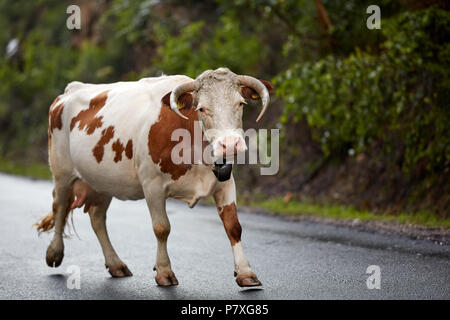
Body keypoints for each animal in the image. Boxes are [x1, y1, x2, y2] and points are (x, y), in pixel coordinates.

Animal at [36, 67, 274, 288]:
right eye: (201, 108)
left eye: (241, 103)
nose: (230, 144)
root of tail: (71, 90)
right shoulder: (152, 185)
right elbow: (162, 228)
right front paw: (164, 272)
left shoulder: (225, 183)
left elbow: (233, 226)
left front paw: (246, 273)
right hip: (62, 172)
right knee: (59, 207)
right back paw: (54, 253)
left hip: (103, 181)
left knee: (97, 218)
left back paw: (115, 264)